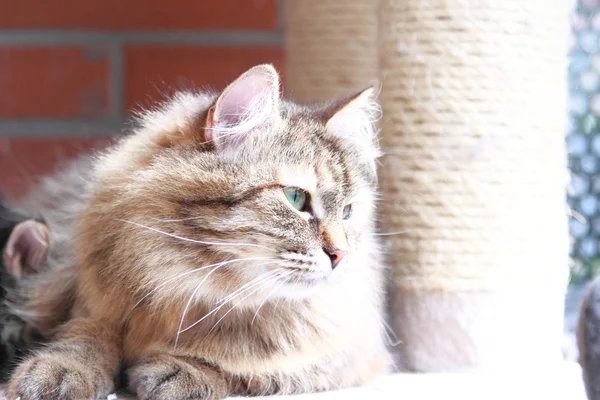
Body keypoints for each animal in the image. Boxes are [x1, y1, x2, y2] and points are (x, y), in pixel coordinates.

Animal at [4, 64, 390, 398]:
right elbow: (85, 335)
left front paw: (182, 371)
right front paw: (59, 371)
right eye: (296, 198)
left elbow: (245, 369)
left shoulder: (342, 359)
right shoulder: (86, 299)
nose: (340, 255)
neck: (187, 287)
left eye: (348, 212)